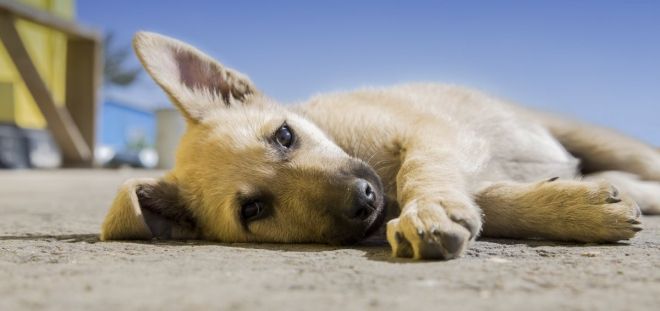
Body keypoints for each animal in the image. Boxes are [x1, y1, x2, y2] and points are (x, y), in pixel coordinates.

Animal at [99, 32, 660, 260]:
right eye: (253, 209)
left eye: (285, 135)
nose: (364, 200)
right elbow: (492, 201)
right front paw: (578, 208)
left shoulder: (432, 132)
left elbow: (422, 170)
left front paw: (428, 210)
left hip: (602, 140)